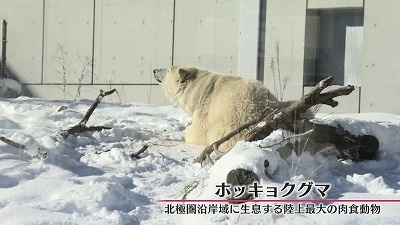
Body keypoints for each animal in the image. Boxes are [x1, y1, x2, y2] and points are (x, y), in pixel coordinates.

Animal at [155, 65, 290, 153]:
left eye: (168, 70)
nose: (154, 70)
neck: (200, 89)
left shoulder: (206, 107)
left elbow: (199, 131)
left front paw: (187, 131)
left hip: (234, 121)